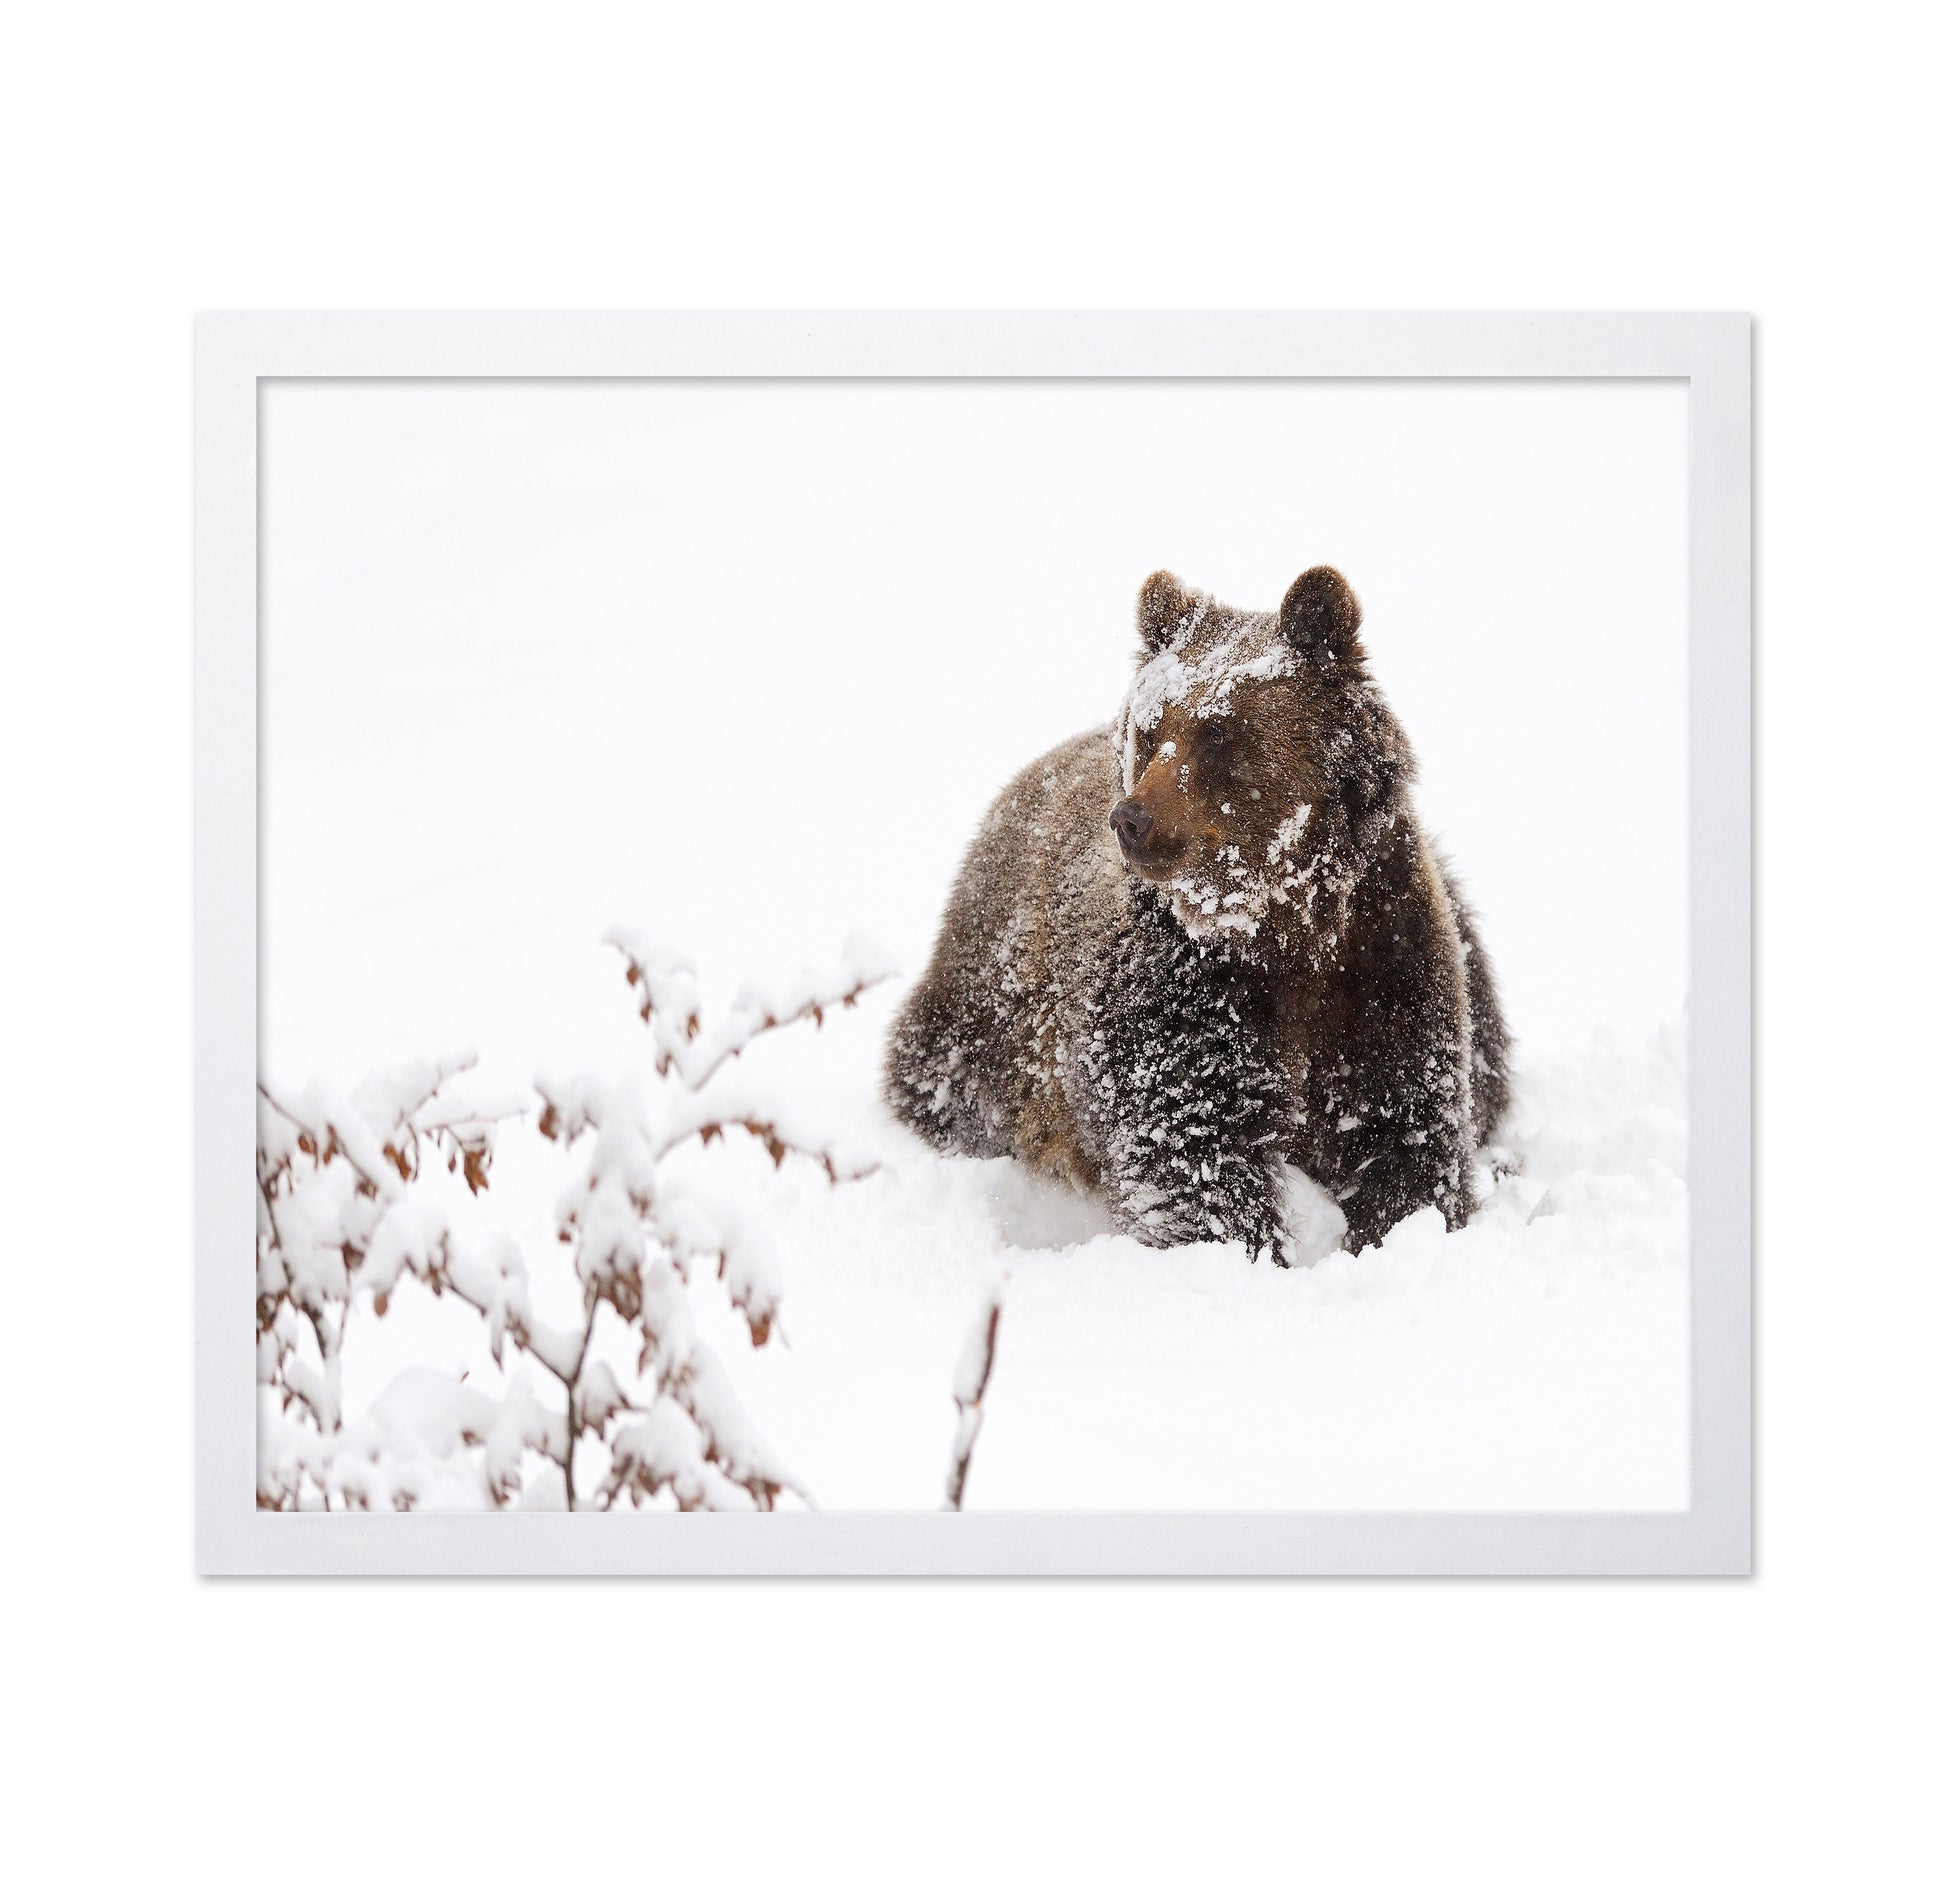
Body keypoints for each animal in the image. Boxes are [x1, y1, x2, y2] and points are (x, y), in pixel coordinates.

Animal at [882, 566, 1511, 1261]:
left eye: (1219, 732)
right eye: (1149, 730)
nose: (1132, 818)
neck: (1279, 922)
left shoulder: (1382, 961)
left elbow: (1404, 1132)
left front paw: (1400, 1226)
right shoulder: (1176, 994)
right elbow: (1193, 1149)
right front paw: (1249, 1249)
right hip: (989, 1017)